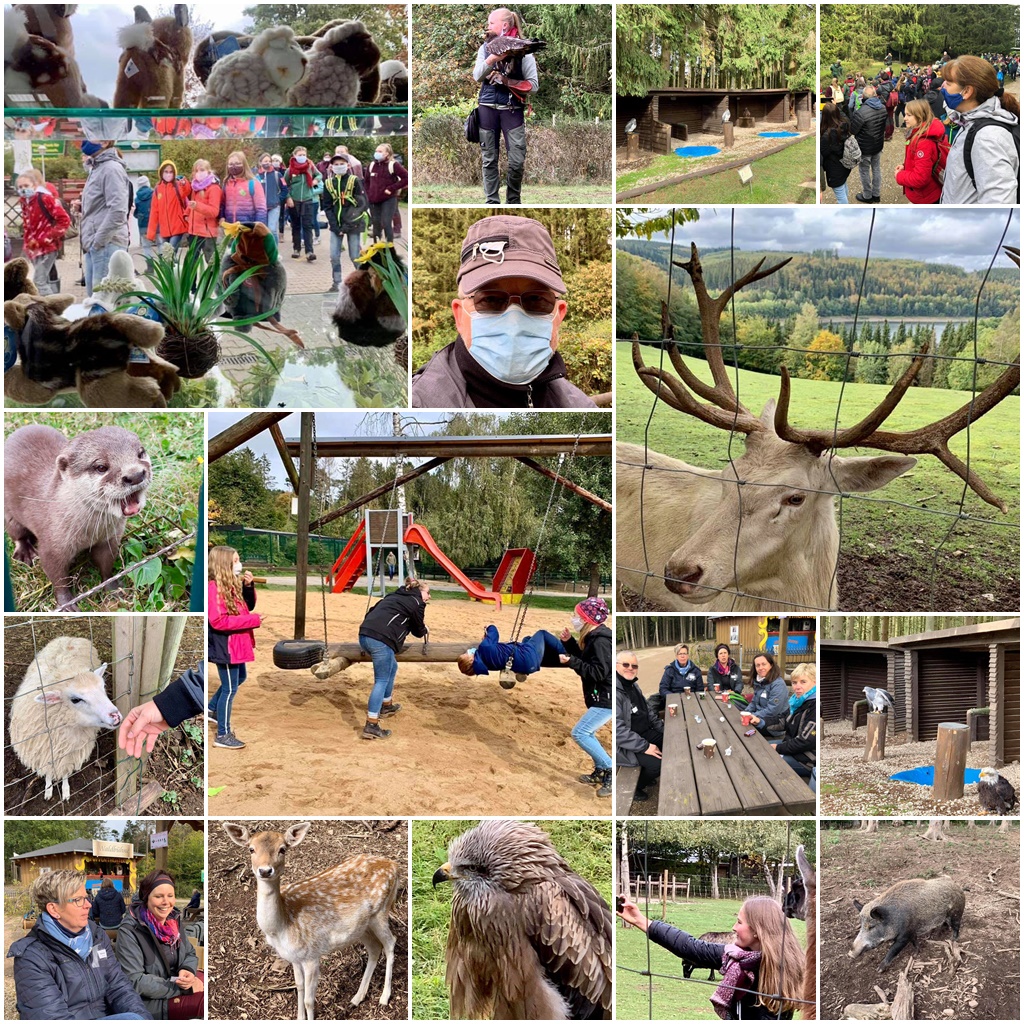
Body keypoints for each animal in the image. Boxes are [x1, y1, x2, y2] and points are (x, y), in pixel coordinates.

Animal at [3, 423, 151, 606]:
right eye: (101, 467)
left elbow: (106, 563)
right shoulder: (52, 546)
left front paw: (113, 587)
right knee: (17, 533)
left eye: (140, 453)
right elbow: (58, 577)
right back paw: (25, 553)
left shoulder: (109, 539)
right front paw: (66, 604)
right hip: (9, 513)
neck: (88, 533)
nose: (135, 474)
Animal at [9, 634, 121, 802]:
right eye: (75, 699)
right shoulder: (46, 752)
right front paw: (48, 790)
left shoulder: (68, 753)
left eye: (103, 687)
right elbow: (48, 772)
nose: (116, 716)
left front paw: (66, 790)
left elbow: (65, 773)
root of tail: (70, 637)